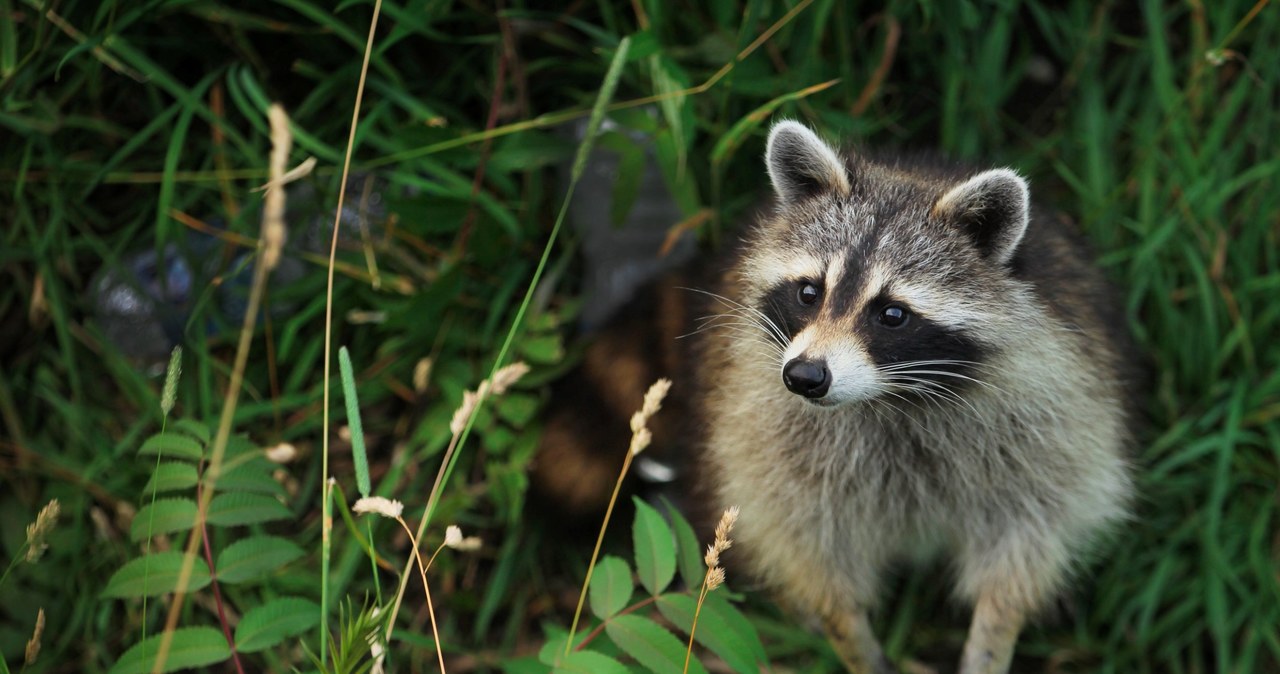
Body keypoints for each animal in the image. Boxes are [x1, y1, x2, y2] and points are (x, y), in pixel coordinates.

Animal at [701, 122, 1141, 674]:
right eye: (808, 293)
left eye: (892, 314)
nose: (805, 377)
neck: (890, 397)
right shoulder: (767, 428)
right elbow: (808, 544)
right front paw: (849, 635)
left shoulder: (1053, 414)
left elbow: (1025, 540)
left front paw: (992, 639)